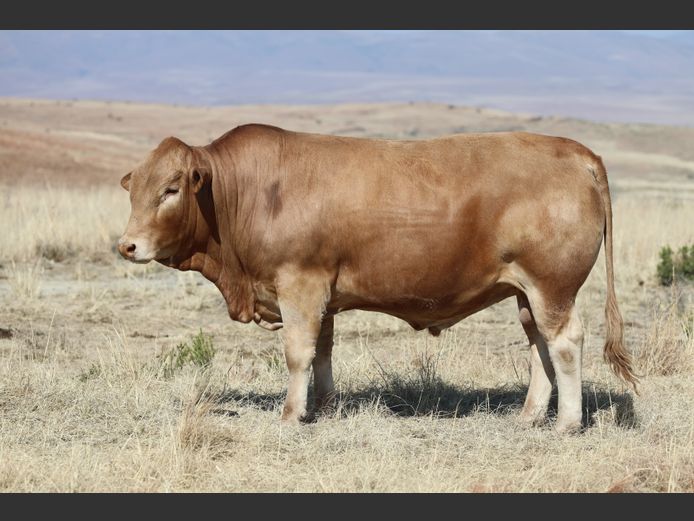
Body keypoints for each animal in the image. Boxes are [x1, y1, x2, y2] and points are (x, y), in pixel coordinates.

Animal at [118, 124, 638, 433]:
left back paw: (567, 423)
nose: (128, 245)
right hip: (526, 292)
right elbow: (322, 351)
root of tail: (574, 150)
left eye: (171, 189)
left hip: (553, 287)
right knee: (538, 345)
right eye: (134, 189)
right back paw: (529, 416)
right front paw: (325, 406)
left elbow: (297, 353)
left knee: (564, 343)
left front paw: (290, 414)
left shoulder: (299, 285)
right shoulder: (321, 292)